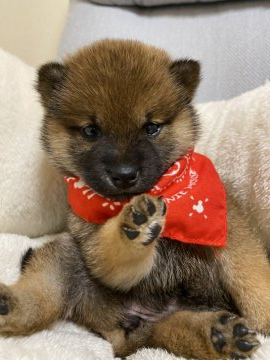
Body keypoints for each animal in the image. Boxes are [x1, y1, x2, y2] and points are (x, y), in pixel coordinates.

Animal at [0, 40, 270, 360]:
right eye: (91, 131)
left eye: (151, 127)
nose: (124, 174)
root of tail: (127, 336)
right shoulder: (98, 251)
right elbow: (116, 256)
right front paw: (134, 226)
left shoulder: (231, 229)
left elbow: (252, 278)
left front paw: (266, 318)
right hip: (65, 256)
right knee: (42, 298)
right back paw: (9, 305)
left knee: (178, 327)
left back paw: (219, 335)